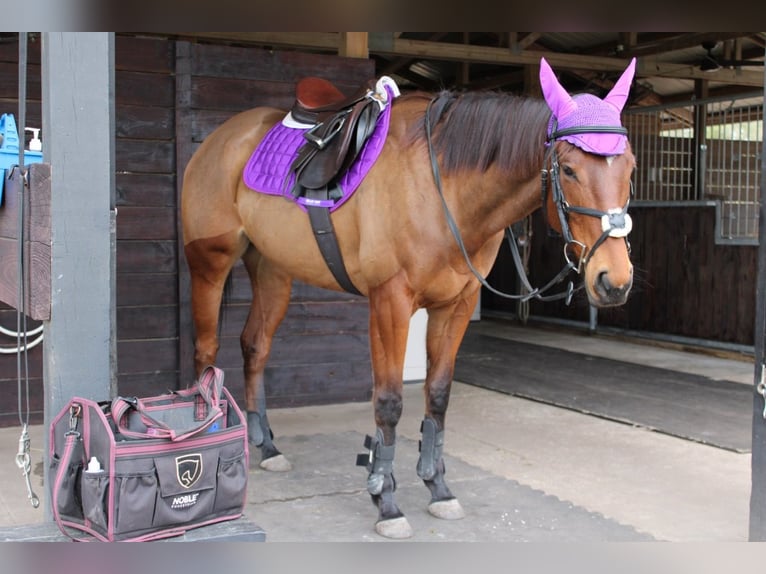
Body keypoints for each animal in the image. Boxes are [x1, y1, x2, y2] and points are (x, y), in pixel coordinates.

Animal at [180, 57, 637, 539]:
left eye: (630, 167)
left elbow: (437, 395)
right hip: (209, 263)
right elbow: (390, 401)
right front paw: (386, 500)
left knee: (255, 346)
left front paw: (438, 487)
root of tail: (221, 137)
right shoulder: (390, 303)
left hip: (272, 270)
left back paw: (267, 447)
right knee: (206, 352)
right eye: (568, 169)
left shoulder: (455, 306)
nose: (614, 281)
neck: (444, 190)